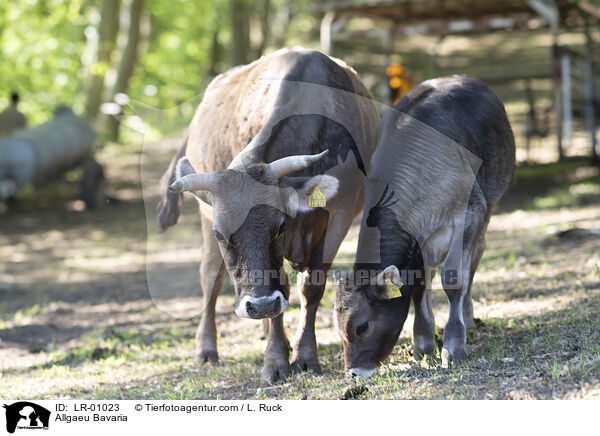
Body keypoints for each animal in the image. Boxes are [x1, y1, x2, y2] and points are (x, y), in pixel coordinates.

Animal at [336, 76, 512, 376]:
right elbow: (419, 286)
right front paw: (423, 344)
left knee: (475, 258)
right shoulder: (417, 243)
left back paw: (467, 317)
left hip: (489, 206)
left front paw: (453, 346)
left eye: (361, 326)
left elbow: (453, 279)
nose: (353, 372)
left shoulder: (470, 213)